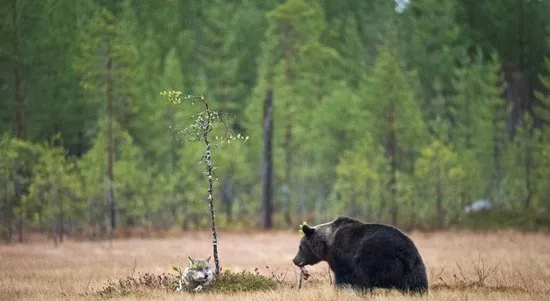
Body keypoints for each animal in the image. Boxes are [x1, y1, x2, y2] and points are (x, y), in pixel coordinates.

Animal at [294, 214, 432, 294]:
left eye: (300, 246)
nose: (295, 260)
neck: (328, 244)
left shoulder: (343, 256)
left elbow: (345, 277)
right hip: (415, 267)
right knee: (417, 284)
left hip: (377, 258)